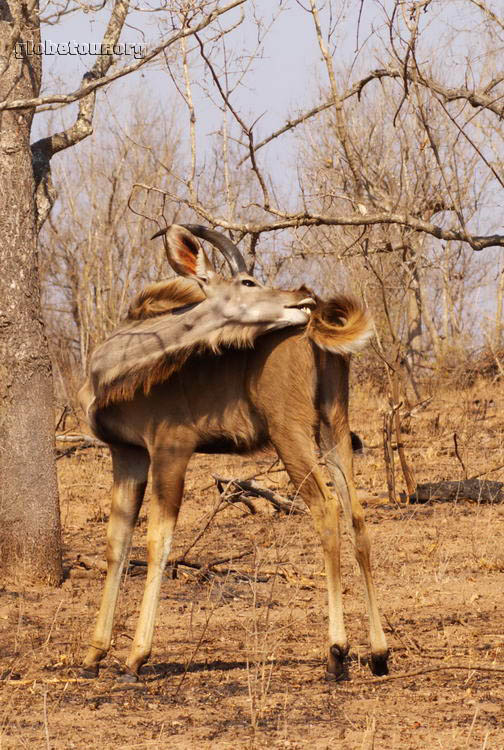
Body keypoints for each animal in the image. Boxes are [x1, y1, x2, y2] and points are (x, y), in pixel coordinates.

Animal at [79, 223, 388, 680]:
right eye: (247, 281)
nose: (303, 298)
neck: (112, 368)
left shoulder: (171, 449)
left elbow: (157, 542)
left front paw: (136, 657)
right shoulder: (128, 454)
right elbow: (116, 544)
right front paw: (94, 654)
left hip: (291, 435)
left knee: (326, 508)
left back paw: (337, 652)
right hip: (335, 429)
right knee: (357, 516)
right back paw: (380, 653)